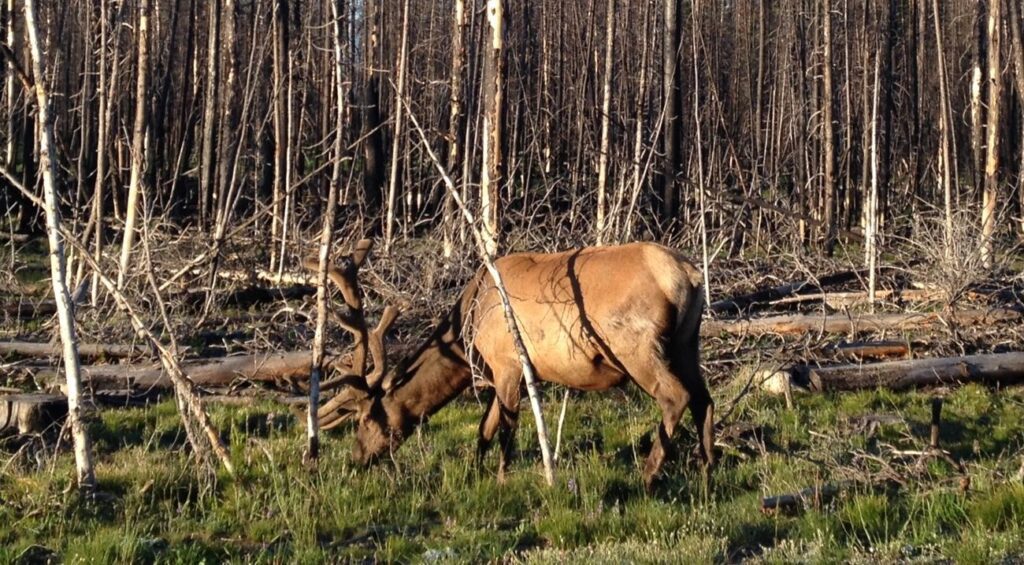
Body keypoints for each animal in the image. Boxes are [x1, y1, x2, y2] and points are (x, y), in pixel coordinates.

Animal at [311, 240, 715, 488]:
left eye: (365, 419)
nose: (356, 459)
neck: (467, 333)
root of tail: (689, 276)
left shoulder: (507, 363)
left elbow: (505, 426)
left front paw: (501, 477)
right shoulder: (504, 371)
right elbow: (484, 428)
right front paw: (474, 471)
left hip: (636, 345)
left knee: (675, 396)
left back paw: (648, 475)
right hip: (687, 341)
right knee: (703, 398)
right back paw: (707, 468)